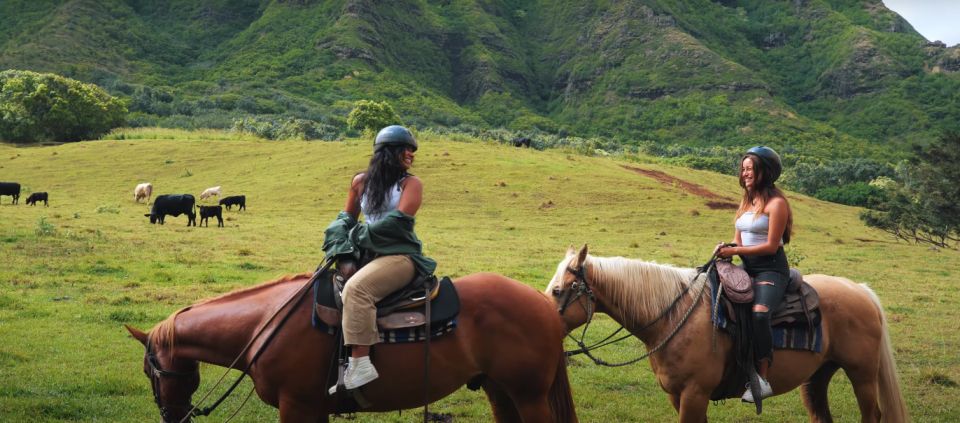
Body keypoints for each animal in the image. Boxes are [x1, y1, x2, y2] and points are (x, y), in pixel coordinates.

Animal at [127, 274, 576, 422]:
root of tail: (544, 304)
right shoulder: (314, 409)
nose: (172, 416)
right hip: (500, 390)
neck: (265, 324)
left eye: (150, 372)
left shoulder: (297, 408)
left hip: (529, 395)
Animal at [548, 247, 908, 423]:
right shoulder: (678, 395)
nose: (540, 315)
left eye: (557, 291)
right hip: (818, 376)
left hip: (862, 374)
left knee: (872, 415)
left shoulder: (695, 393)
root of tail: (860, 290)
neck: (674, 316)